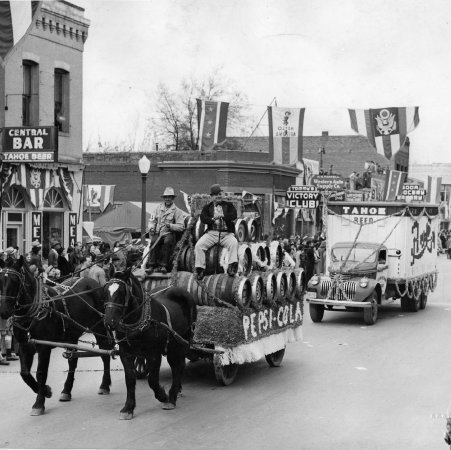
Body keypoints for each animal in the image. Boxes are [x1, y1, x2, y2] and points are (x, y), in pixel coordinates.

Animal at [0, 256, 112, 414]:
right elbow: (25, 374)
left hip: (100, 327)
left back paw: (104, 385)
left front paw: (39, 403)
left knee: (105, 353)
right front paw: (46, 391)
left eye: (15, 281)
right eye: (0, 280)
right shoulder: (24, 346)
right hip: (71, 336)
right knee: (73, 361)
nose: (3, 311)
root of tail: (94, 283)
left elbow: (41, 373)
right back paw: (66, 391)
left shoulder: (44, 347)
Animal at [105, 268, 199, 418]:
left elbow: (153, 380)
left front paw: (163, 396)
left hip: (183, 341)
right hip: (172, 345)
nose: (109, 321)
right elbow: (130, 379)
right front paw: (128, 408)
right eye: (105, 291)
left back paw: (172, 395)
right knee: (175, 365)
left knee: (178, 366)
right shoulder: (125, 353)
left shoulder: (154, 353)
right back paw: (176, 390)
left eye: (121, 293)